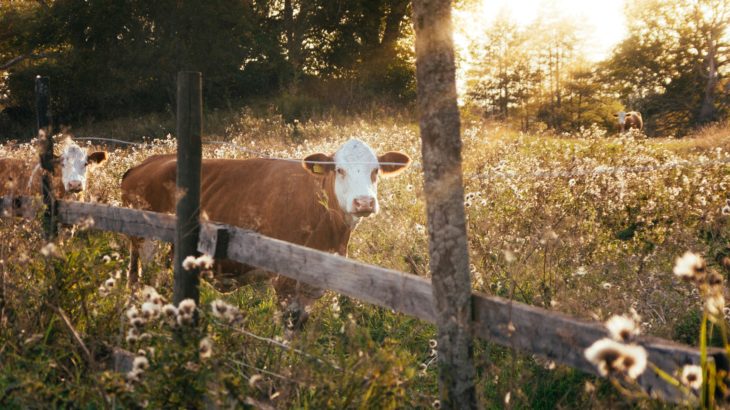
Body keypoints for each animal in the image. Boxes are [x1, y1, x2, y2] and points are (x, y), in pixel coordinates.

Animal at [122, 139, 412, 328]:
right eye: (339, 170)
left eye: (376, 170)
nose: (364, 202)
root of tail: (147, 162)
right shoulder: (284, 280)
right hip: (146, 243)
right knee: (141, 281)